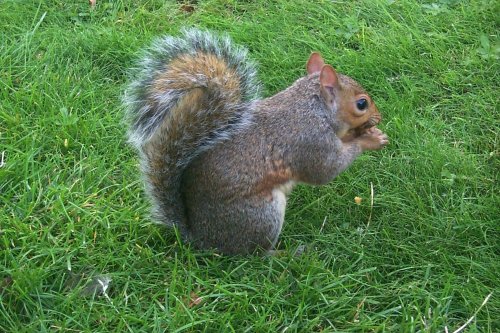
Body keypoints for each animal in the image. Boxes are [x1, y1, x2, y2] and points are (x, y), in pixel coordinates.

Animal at [123, 28, 388, 254]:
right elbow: (325, 171)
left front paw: (367, 134)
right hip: (261, 215)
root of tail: (202, 239)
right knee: (254, 254)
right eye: (362, 104)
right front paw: (368, 140)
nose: (379, 116)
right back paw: (287, 254)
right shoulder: (311, 141)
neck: (314, 108)